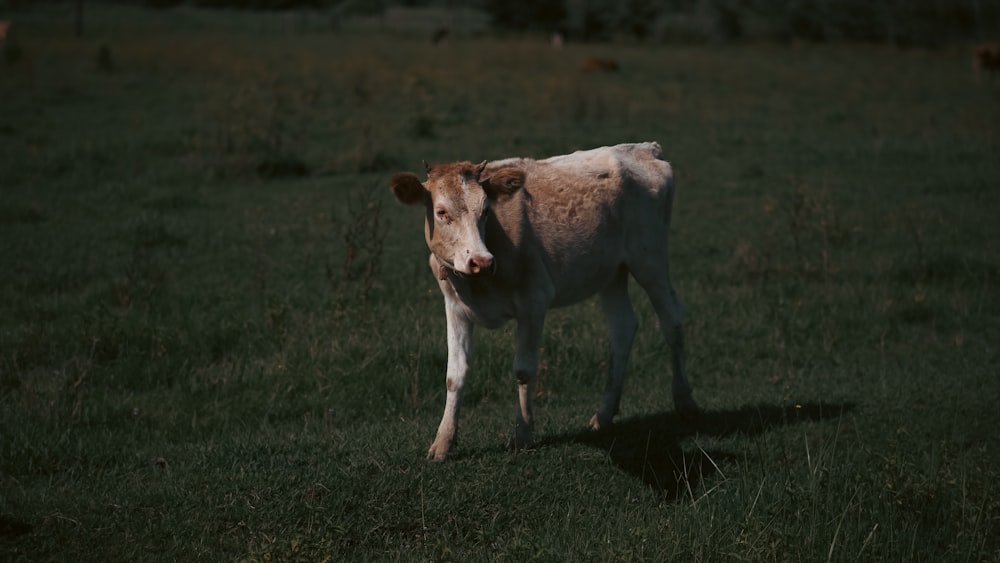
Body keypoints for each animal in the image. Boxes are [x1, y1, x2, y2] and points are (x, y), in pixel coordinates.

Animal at [386, 142, 700, 462]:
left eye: (485, 210)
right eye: (441, 212)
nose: (481, 261)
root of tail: (643, 148)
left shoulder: (534, 301)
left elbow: (524, 370)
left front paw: (523, 434)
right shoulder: (455, 308)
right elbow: (455, 374)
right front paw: (443, 442)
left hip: (649, 258)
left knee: (672, 320)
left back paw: (685, 402)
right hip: (611, 271)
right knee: (623, 328)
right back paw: (603, 415)